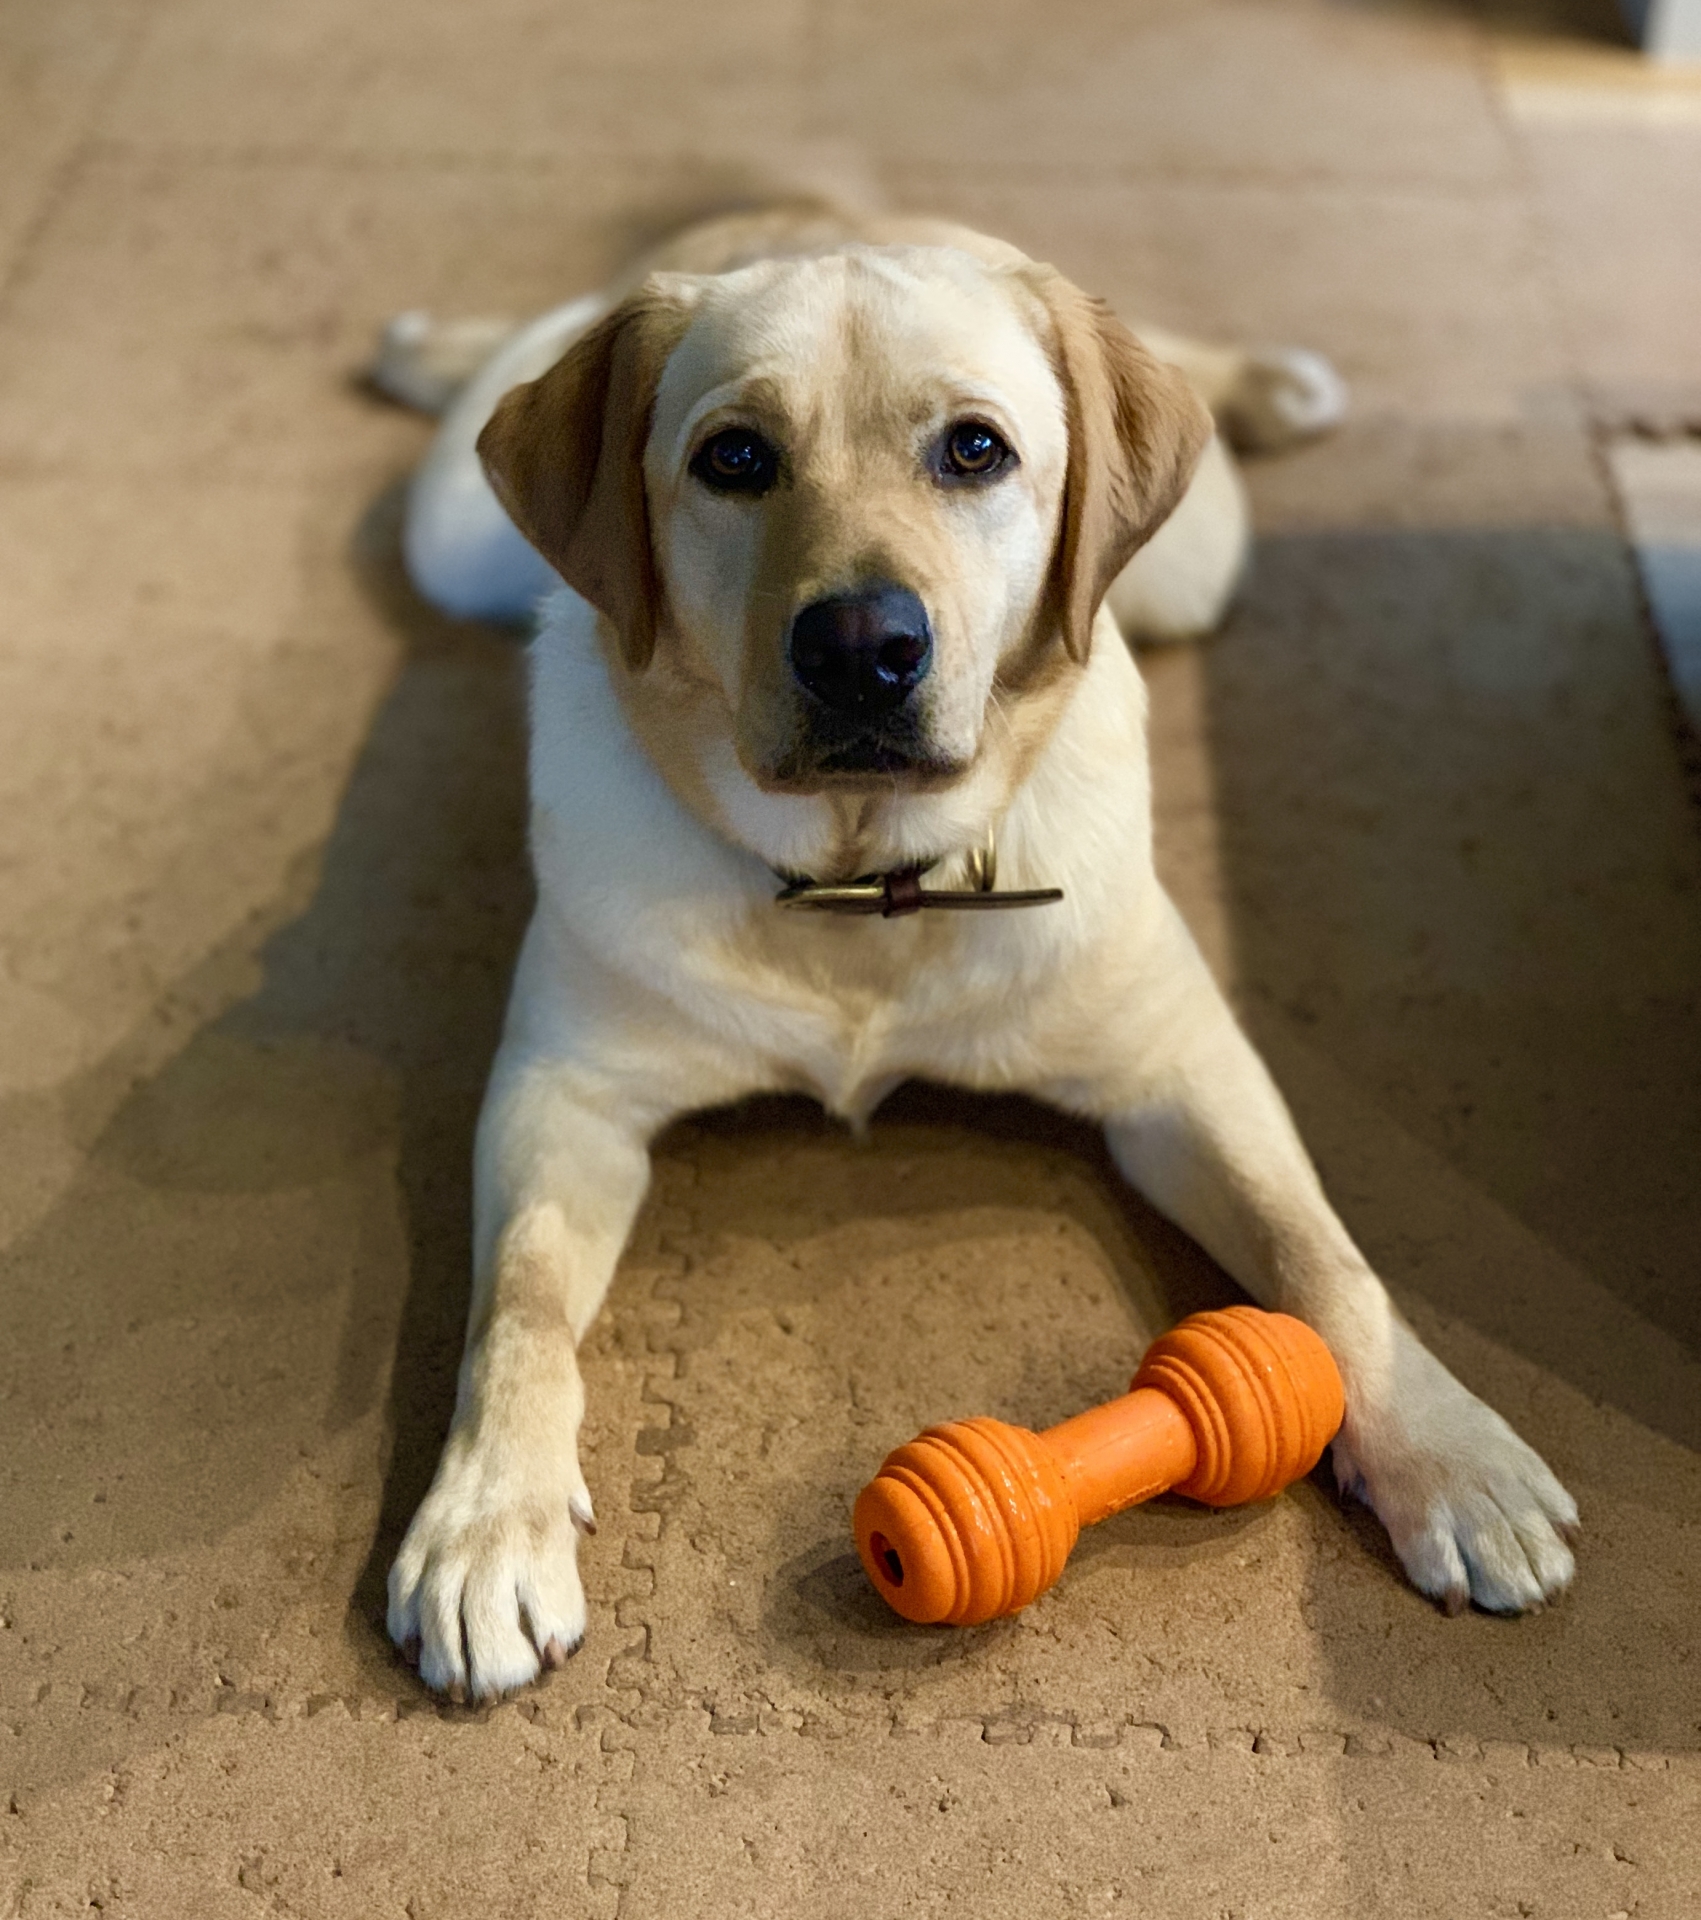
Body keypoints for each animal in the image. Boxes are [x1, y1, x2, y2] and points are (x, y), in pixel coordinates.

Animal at [376, 206, 1581, 1697]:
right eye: (734, 458)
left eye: (975, 450)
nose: (861, 648)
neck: (864, 885)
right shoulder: (565, 1093)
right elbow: (521, 1308)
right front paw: (488, 1520)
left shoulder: (1182, 1067)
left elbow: (1322, 1256)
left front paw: (1448, 1451)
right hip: (452, 538)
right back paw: (427, 347)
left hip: (1188, 564)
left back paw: (1264, 382)